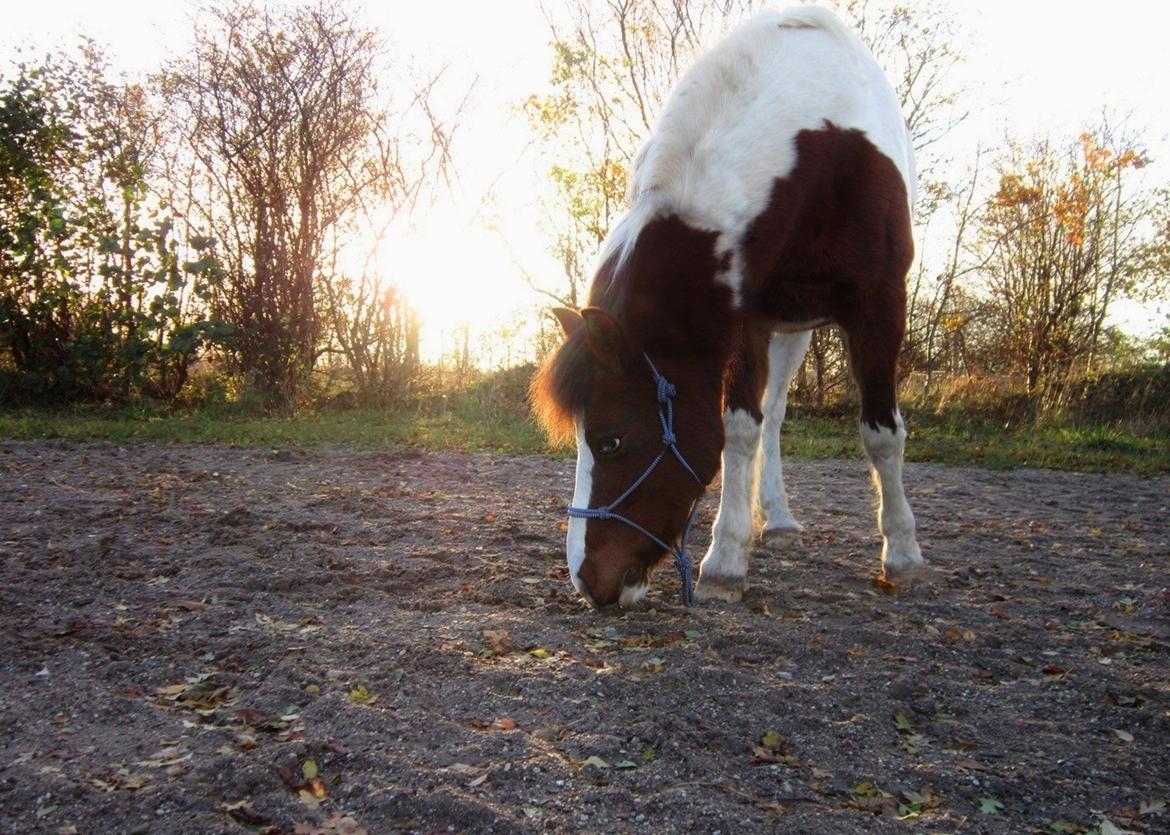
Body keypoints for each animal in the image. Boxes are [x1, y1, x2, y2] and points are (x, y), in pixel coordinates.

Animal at [531, 4, 921, 603]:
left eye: (610, 441)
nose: (588, 583)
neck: (819, 148)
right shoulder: (747, 318)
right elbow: (740, 430)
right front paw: (727, 558)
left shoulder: (880, 303)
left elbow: (881, 433)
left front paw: (901, 552)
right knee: (773, 419)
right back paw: (773, 518)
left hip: (802, 326)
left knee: (782, 411)